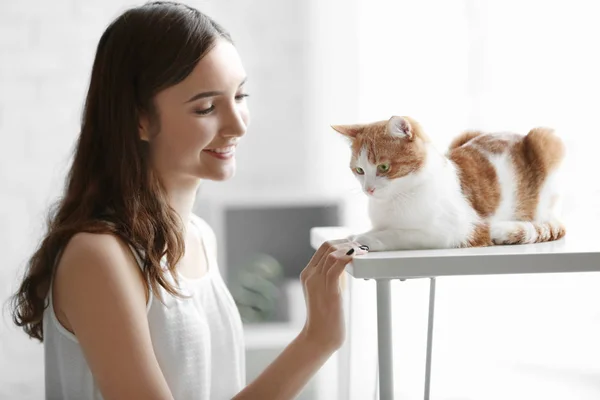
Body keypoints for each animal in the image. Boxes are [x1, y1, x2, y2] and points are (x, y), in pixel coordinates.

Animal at [330, 115, 564, 250]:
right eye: (359, 170)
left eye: (384, 167)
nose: (368, 189)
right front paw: (355, 236)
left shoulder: (455, 231)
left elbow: (399, 234)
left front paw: (365, 239)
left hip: (546, 141)